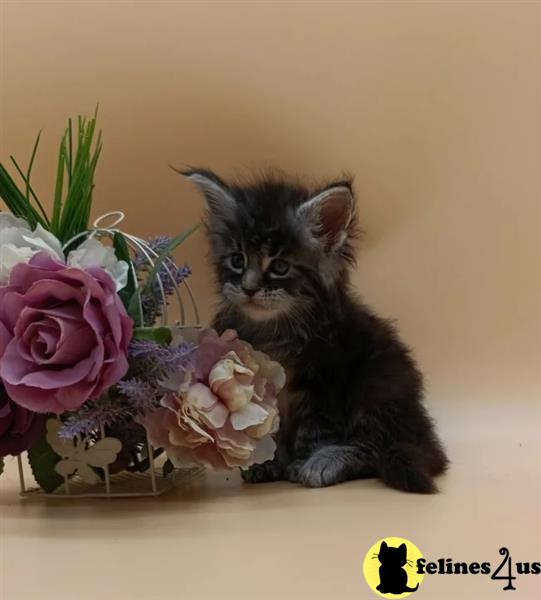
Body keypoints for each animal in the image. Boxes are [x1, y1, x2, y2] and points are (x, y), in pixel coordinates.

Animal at [181, 168, 448, 492]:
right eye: (237, 260)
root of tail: (421, 433)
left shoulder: (326, 378)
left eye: (279, 267)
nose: (248, 288)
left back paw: (330, 461)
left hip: (376, 385)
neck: (274, 331)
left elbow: (316, 429)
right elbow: (265, 426)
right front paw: (267, 462)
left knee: (372, 446)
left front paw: (306, 462)